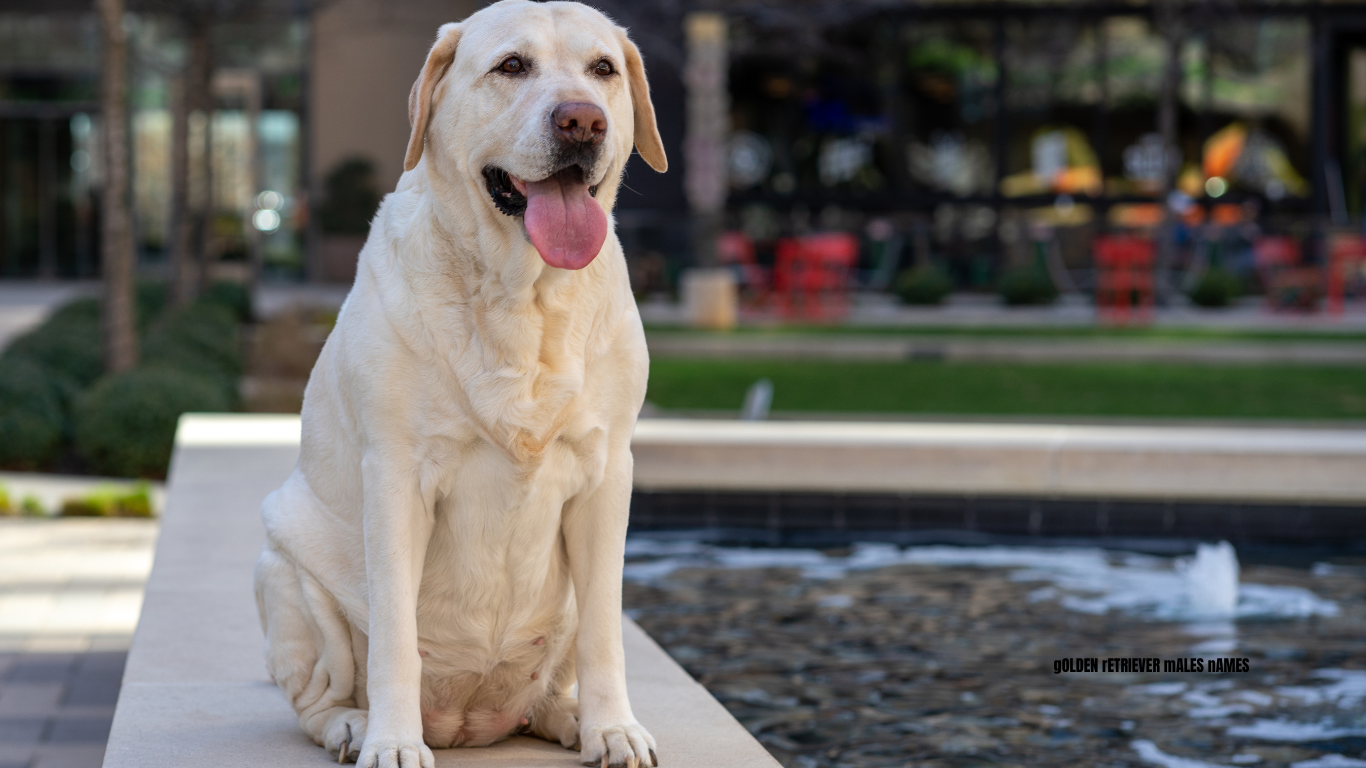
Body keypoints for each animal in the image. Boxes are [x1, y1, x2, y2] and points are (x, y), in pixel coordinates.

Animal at [254, 2, 669, 759]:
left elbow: (605, 631)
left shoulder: (605, 476)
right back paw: (354, 727)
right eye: (511, 66)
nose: (583, 121)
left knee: (555, 675)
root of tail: (470, 722)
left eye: (603, 69)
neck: (524, 297)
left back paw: (567, 717)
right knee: (317, 694)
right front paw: (392, 742)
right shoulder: (396, 475)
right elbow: (394, 635)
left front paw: (613, 728)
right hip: (286, 564)